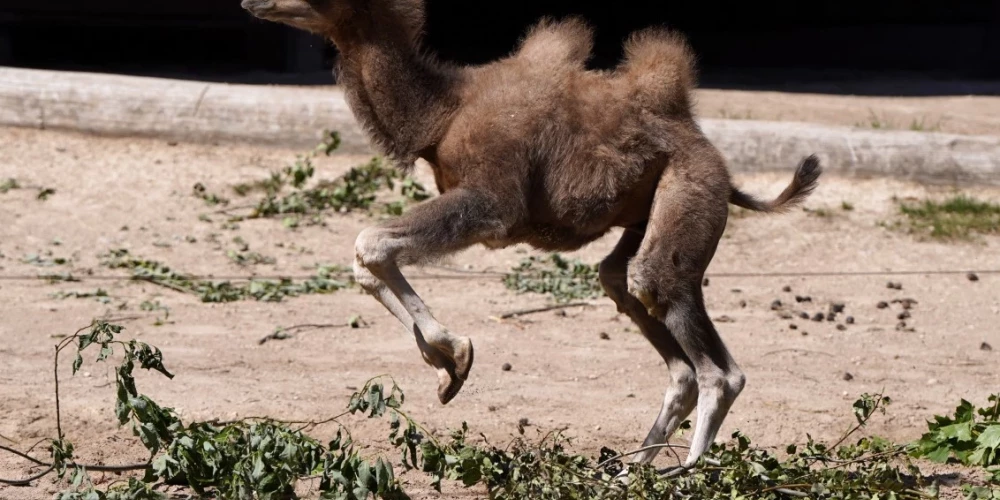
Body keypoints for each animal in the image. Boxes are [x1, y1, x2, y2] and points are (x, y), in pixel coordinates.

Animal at [240, 0, 820, 468]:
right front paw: (447, 368)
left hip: (689, 191)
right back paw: (631, 469)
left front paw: (454, 355)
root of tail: (715, 159)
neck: (443, 114)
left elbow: (371, 244)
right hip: (645, 217)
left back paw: (684, 471)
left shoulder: (492, 202)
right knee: (633, 297)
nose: (252, 1)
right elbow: (371, 255)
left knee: (709, 357)